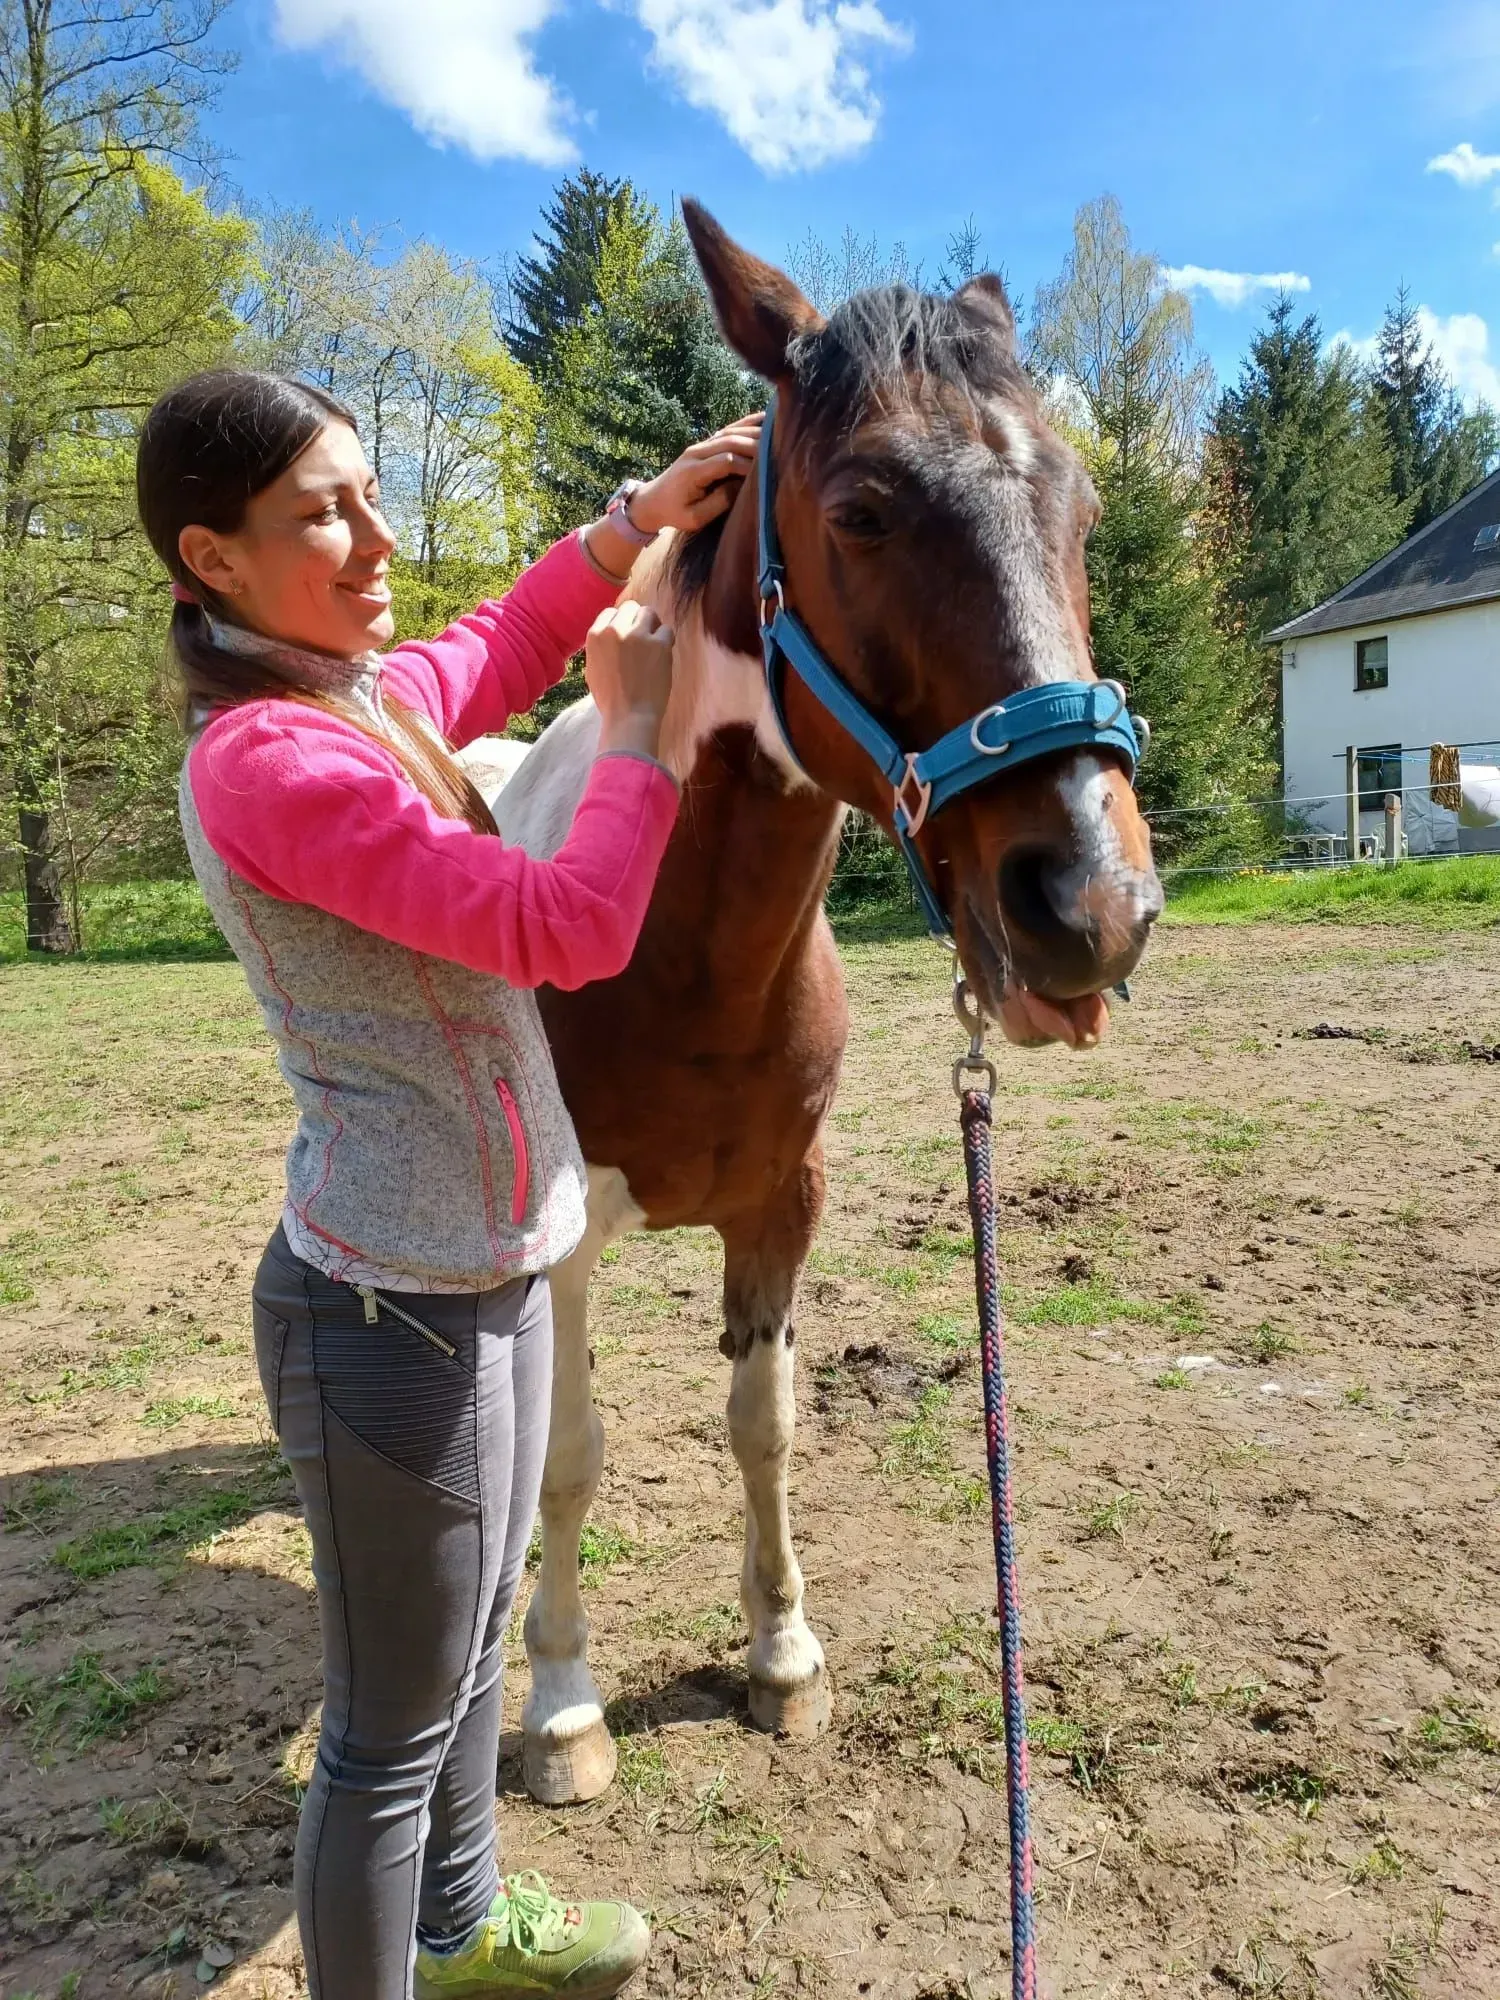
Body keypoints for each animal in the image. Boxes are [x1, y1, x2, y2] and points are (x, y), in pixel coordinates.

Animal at [475, 202, 1162, 1806]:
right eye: (860, 511)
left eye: (1087, 511)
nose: (1092, 905)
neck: (676, 951)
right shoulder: (565, 1237)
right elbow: (573, 1454)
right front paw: (564, 1705)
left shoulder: (784, 1204)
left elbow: (765, 1423)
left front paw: (783, 1656)